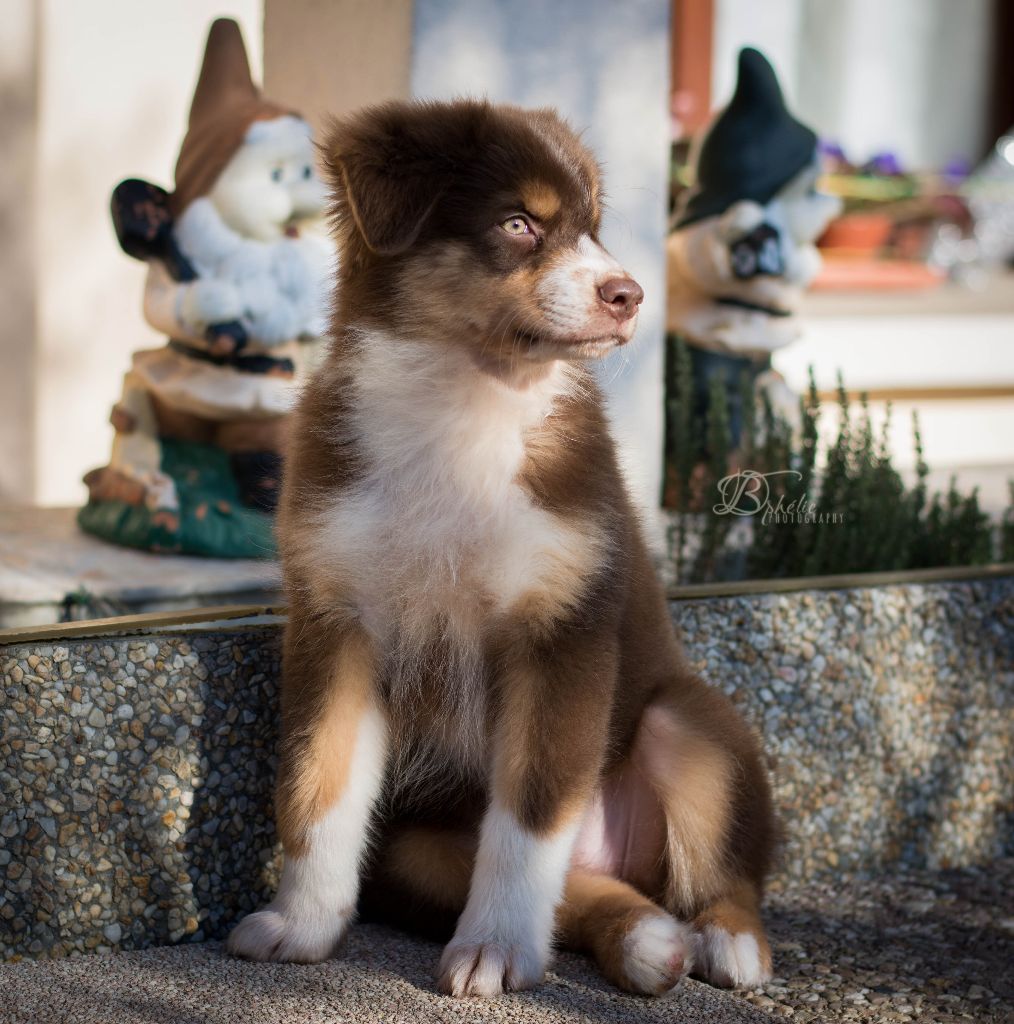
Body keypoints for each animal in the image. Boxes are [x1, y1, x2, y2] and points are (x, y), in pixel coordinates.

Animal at [224, 99, 778, 995]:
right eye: (519, 223)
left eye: (591, 227)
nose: (629, 294)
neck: (467, 400)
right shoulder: (336, 617)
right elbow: (317, 785)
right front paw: (299, 927)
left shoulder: (560, 629)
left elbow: (530, 821)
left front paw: (496, 951)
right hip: (413, 844)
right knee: (589, 888)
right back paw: (646, 940)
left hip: (691, 723)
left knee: (718, 869)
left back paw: (726, 941)